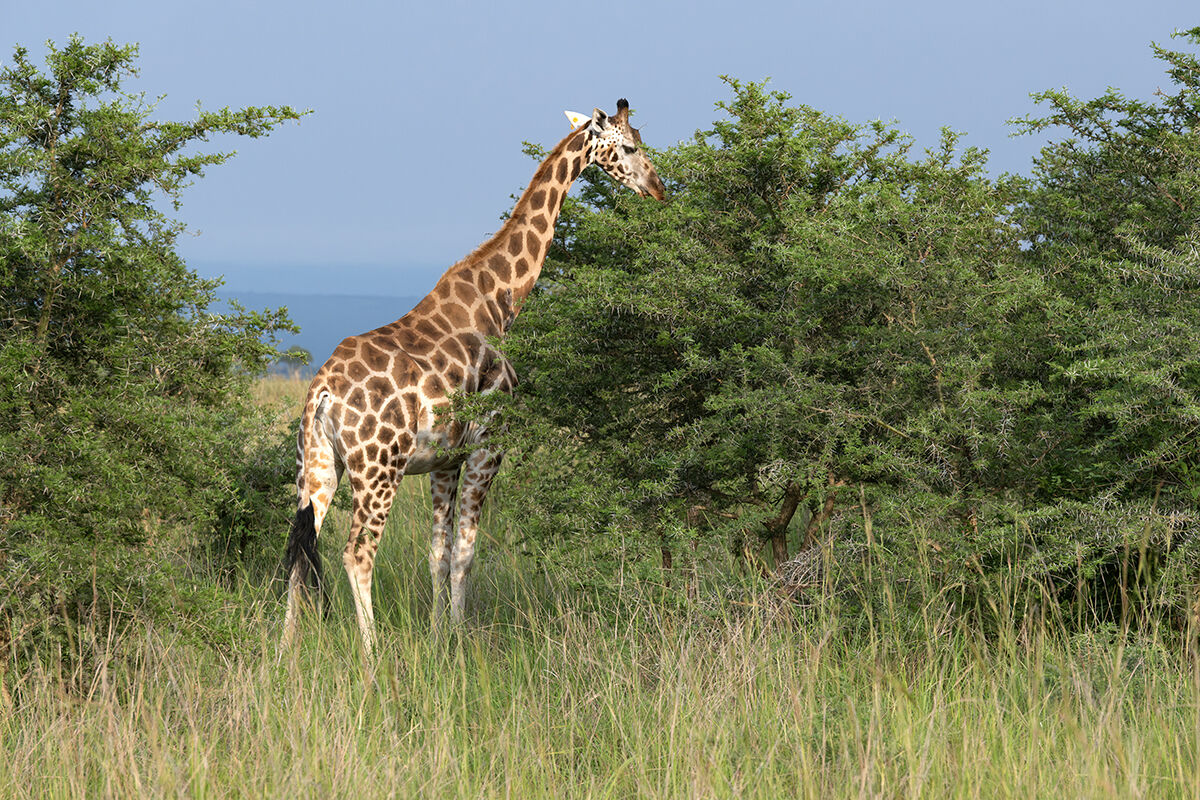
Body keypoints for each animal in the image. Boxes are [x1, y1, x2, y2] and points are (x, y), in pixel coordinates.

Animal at [282, 99, 664, 653]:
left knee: (297, 546)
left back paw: (284, 653)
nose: (658, 188)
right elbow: (465, 551)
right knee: (357, 553)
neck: (500, 302)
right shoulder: (490, 444)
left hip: (316, 466)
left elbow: (437, 554)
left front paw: (438, 634)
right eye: (631, 146)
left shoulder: (444, 460)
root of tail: (323, 392)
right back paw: (372, 655)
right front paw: (461, 640)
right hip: (377, 469)